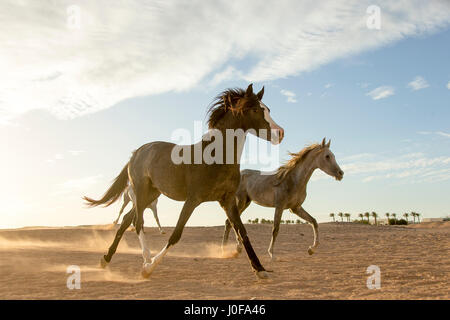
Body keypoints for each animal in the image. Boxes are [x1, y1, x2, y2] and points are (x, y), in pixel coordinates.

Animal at [83, 84, 284, 278]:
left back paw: (106, 259)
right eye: (255, 110)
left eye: (268, 109)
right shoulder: (192, 200)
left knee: (126, 220)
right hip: (141, 192)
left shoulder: (227, 201)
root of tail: (137, 152)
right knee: (137, 222)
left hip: (151, 194)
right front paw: (149, 269)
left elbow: (243, 232)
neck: (215, 157)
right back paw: (146, 260)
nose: (280, 133)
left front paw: (260, 269)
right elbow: (176, 234)